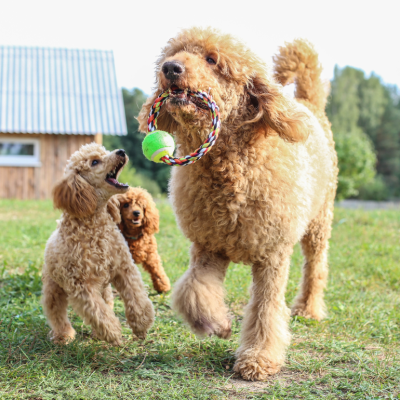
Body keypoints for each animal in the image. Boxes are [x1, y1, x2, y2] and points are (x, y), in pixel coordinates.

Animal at [42, 145, 155, 346]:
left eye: (104, 152)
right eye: (95, 162)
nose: (121, 151)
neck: (95, 227)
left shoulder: (124, 268)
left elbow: (136, 297)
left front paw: (141, 325)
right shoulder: (81, 286)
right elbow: (98, 312)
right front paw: (113, 333)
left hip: (104, 287)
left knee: (107, 302)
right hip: (54, 288)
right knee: (56, 312)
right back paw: (63, 336)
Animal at [138, 28, 338, 382]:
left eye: (211, 60)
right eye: (173, 52)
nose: (170, 68)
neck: (230, 167)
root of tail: (308, 105)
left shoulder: (272, 255)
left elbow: (265, 308)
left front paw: (258, 358)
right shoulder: (208, 245)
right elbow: (194, 290)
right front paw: (216, 324)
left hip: (319, 221)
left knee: (315, 268)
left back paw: (308, 310)